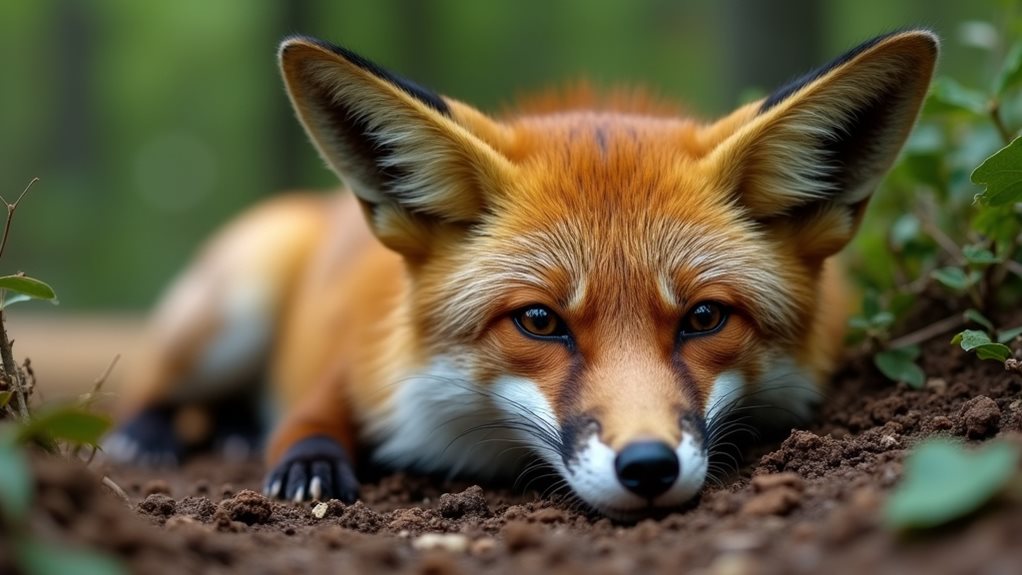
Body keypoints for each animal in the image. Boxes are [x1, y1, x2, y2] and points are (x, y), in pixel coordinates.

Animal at [104, 30, 938, 519]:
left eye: (704, 317)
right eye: (540, 320)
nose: (647, 467)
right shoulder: (357, 360)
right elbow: (307, 421)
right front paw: (309, 464)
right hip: (227, 314)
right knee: (150, 380)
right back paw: (153, 435)